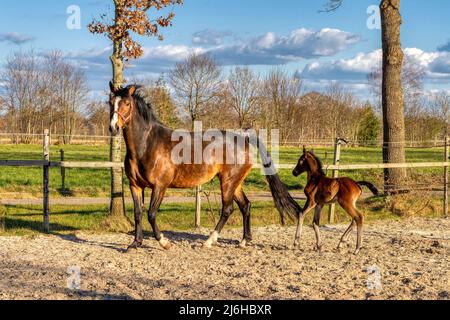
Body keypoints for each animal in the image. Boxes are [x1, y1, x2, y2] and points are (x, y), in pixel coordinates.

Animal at [107, 82, 300, 250]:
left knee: (227, 209)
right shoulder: (135, 186)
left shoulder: (160, 186)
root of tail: (244, 139)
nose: (113, 128)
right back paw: (244, 241)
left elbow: (151, 214)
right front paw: (135, 243)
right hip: (236, 183)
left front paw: (164, 242)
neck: (147, 144)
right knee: (245, 206)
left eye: (126, 103)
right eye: (110, 102)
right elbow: (138, 214)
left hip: (228, 182)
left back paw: (209, 241)